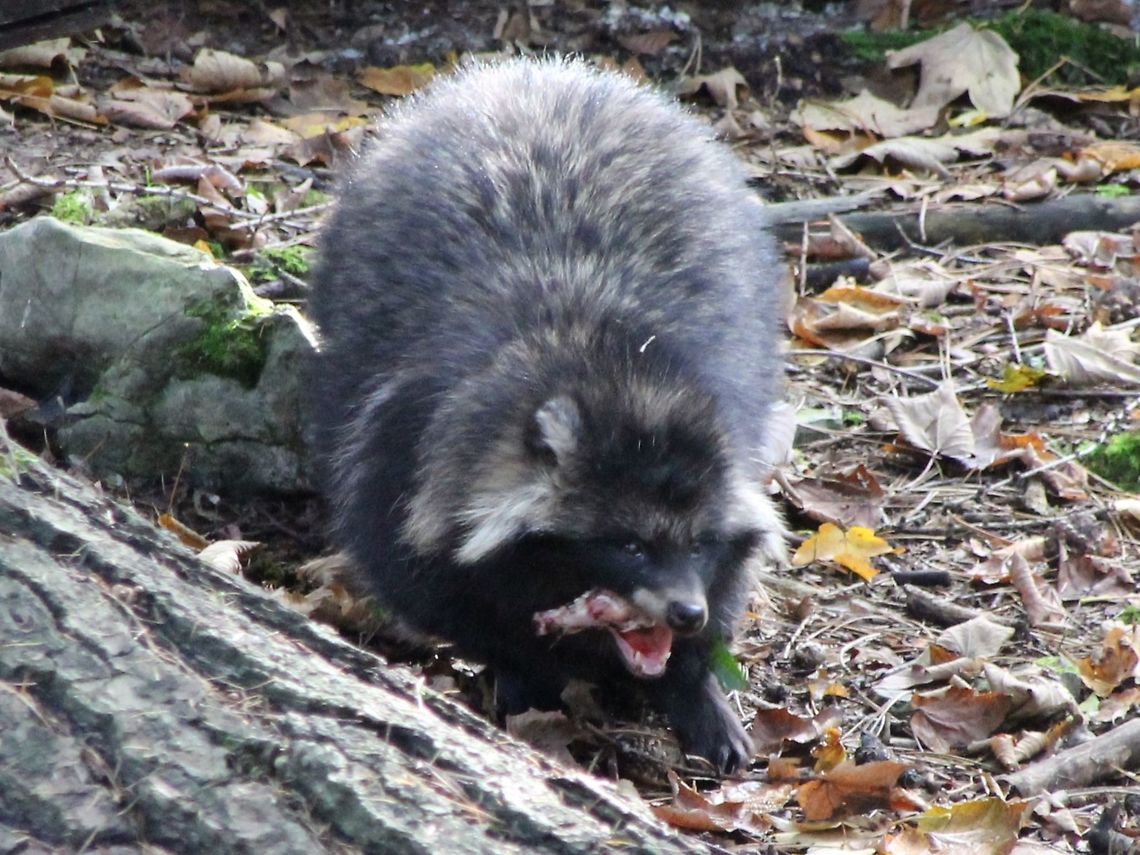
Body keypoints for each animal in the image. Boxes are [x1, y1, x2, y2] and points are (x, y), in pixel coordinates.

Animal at [309, 59, 786, 772]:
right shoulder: (402, 447)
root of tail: (536, 73)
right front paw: (523, 667)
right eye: (628, 545)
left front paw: (691, 680)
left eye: (699, 544)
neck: (616, 365)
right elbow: (433, 584)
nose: (685, 614)